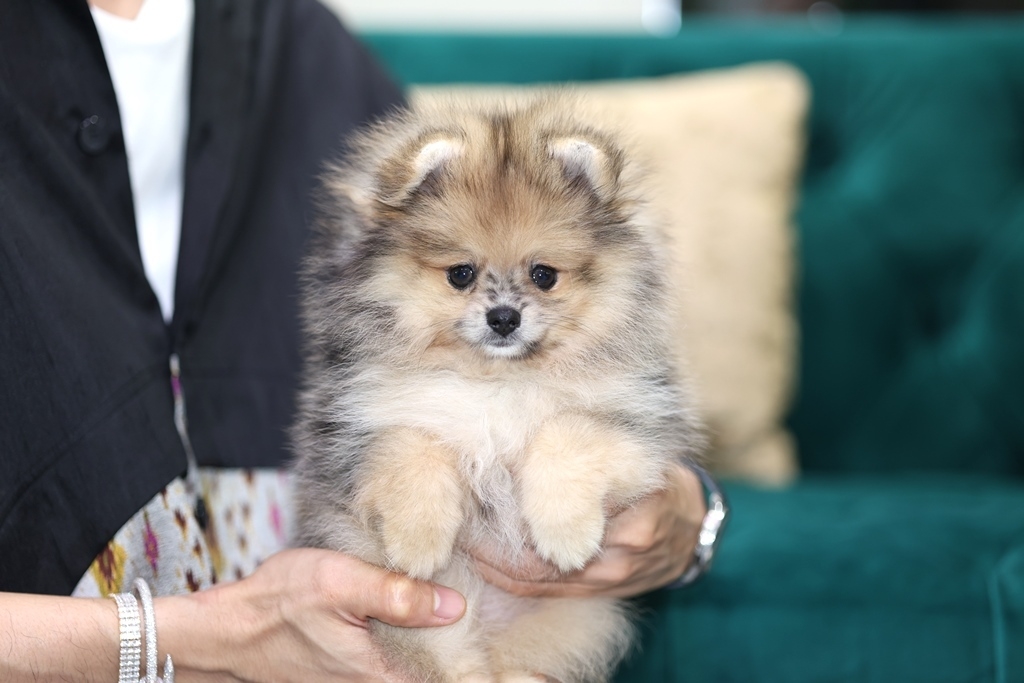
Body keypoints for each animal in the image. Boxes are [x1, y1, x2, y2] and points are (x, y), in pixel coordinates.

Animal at [292, 98, 702, 682]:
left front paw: (566, 531)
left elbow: (569, 432)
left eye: (544, 275)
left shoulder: (638, 416)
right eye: (460, 273)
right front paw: (417, 541)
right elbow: (410, 445)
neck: (497, 381)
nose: (504, 317)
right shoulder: (355, 417)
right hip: (436, 631)